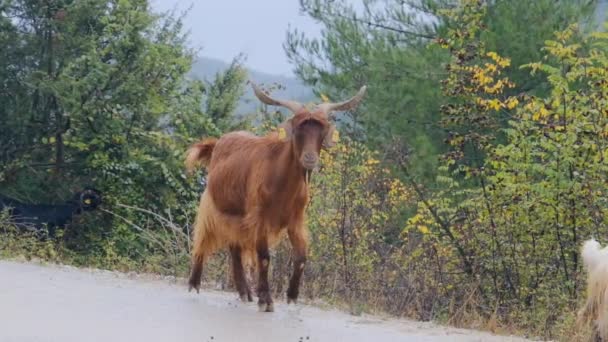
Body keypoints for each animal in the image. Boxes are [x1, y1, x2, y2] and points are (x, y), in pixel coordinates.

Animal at [185, 83, 366, 312]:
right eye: (298, 129)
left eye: (322, 129)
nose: (310, 158)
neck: (281, 182)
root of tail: (218, 143)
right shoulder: (259, 218)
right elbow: (264, 257)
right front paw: (266, 300)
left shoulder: (295, 220)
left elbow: (301, 257)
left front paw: (292, 296)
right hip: (214, 206)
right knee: (203, 239)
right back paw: (194, 285)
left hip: (237, 217)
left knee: (234, 249)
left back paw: (245, 293)